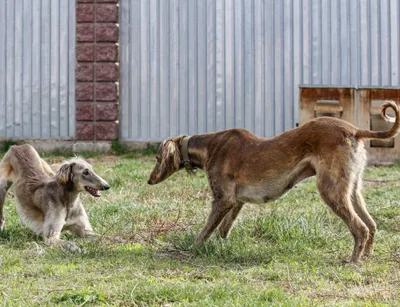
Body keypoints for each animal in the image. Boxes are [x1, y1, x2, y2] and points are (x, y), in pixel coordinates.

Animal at [149, 100, 400, 264]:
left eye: (157, 158)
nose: (149, 181)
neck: (210, 146)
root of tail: (354, 129)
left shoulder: (223, 200)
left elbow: (206, 231)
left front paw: (192, 249)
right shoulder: (236, 202)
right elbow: (223, 230)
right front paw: (222, 248)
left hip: (330, 190)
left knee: (360, 228)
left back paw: (353, 261)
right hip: (351, 189)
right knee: (371, 225)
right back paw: (366, 256)